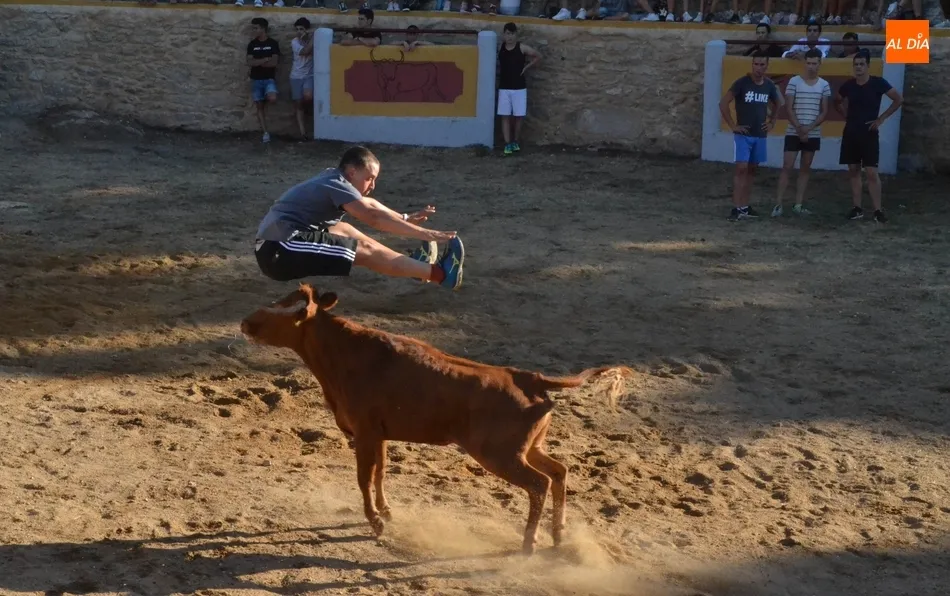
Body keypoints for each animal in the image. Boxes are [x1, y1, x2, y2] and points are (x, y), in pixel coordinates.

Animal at [239, 283, 632, 555]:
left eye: (286, 311)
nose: (245, 321)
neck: (348, 356)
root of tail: (529, 378)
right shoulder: (379, 434)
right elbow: (380, 473)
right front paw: (388, 512)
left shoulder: (364, 433)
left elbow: (364, 477)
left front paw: (376, 522)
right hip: (528, 448)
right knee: (559, 472)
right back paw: (558, 534)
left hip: (500, 455)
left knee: (539, 483)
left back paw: (529, 542)